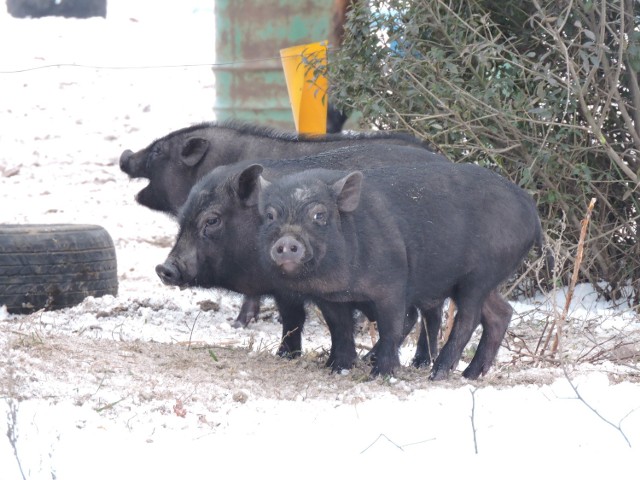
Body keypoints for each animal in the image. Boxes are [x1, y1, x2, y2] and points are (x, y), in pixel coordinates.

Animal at [254, 164, 544, 378]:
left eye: (319, 215)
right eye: (270, 216)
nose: (287, 241)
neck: (345, 284)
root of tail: (531, 208)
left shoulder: (392, 287)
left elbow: (391, 327)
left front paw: (382, 374)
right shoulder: (329, 298)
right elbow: (340, 329)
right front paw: (338, 369)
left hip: (480, 277)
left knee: (468, 319)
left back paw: (438, 373)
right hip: (478, 283)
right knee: (501, 313)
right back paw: (470, 374)